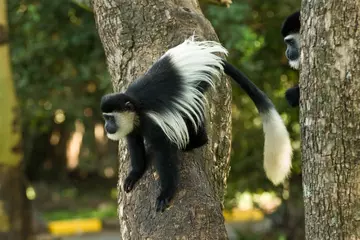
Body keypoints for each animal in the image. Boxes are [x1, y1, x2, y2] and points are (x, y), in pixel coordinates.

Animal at [100, 35, 292, 212]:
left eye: (110, 118)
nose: (107, 127)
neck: (136, 109)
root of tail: (206, 55)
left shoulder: (152, 124)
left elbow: (164, 153)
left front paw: (165, 194)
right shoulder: (133, 126)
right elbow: (135, 144)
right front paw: (134, 175)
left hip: (199, 82)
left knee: (192, 110)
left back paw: (197, 141)